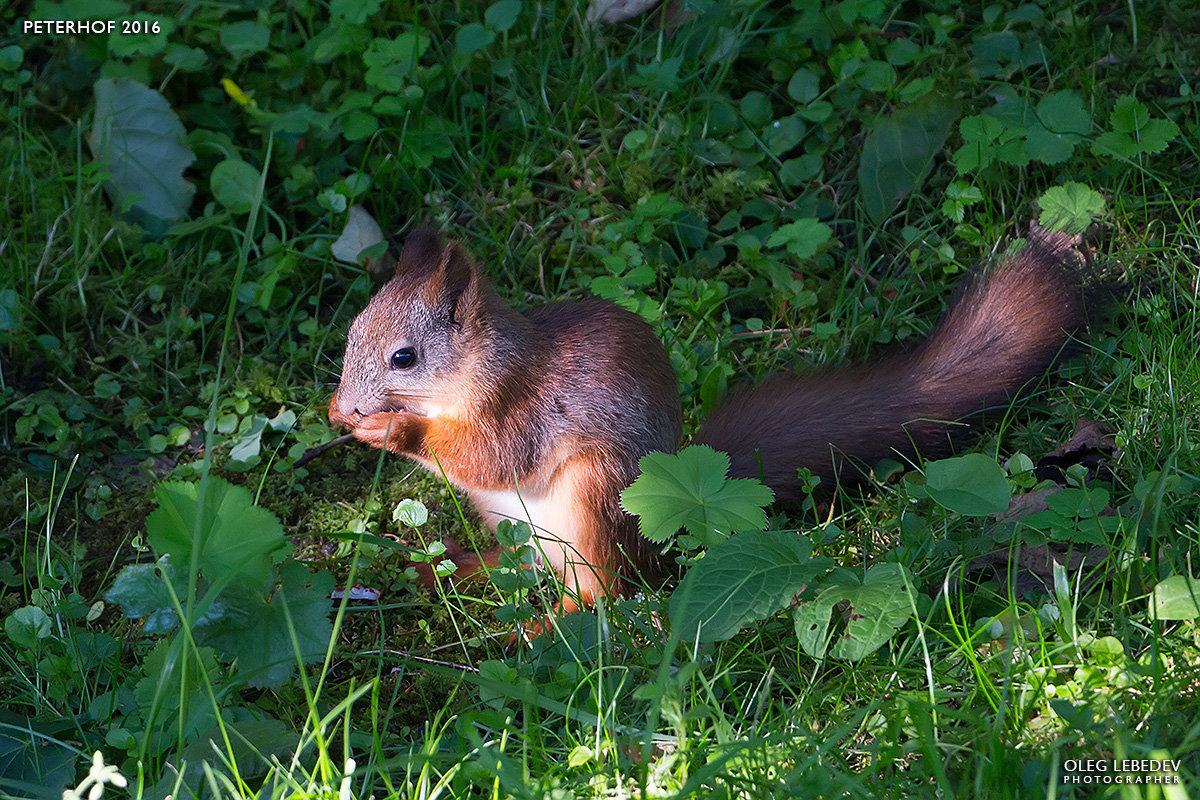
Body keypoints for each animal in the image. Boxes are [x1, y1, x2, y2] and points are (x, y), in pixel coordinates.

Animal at [328, 227, 1089, 618]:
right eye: (352, 332)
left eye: (404, 357)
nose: (346, 404)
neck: (476, 372)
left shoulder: (526, 407)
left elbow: (491, 454)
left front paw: (396, 432)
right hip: (515, 524)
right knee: (522, 566)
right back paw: (448, 568)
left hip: (594, 498)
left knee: (603, 598)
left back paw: (543, 633)